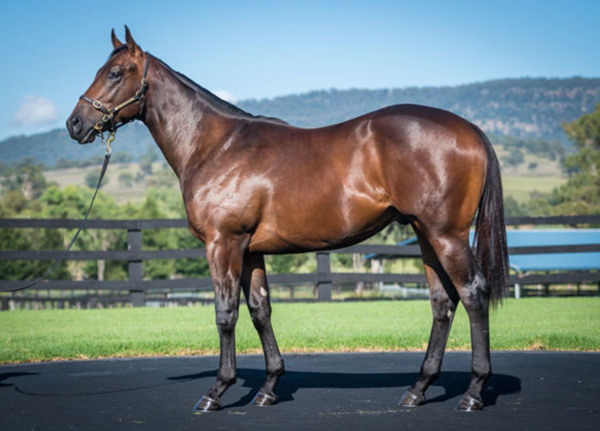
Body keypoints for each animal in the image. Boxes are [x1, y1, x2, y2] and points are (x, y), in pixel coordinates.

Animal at [67, 27, 506, 416]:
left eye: (115, 73)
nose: (75, 124)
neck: (215, 146)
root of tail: (471, 129)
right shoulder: (249, 250)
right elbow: (260, 310)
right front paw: (269, 388)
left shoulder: (223, 243)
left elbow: (225, 313)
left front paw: (216, 391)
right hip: (425, 235)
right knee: (443, 303)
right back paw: (418, 389)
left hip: (446, 235)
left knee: (473, 294)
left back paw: (473, 393)